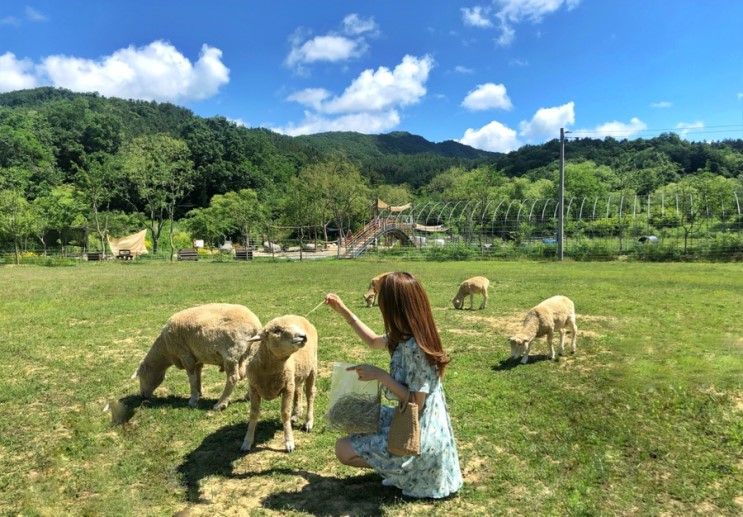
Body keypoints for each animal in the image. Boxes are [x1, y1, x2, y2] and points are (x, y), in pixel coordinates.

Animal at [134, 302, 262, 408]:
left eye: (141, 376)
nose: (142, 396)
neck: (166, 349)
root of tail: (255, 326)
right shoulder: (197, 356)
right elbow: (198, 374)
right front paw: (199, 392)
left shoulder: (185, 355)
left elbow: (191, 377)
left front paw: (193, 400)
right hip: (250, 352)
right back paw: (248, 396)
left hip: (231, 353)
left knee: (233, 378)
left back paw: (220, 404)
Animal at [241, 314, 316, 452]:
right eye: (277, 331)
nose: (303, 336)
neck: (268, 370)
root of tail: (300, 316)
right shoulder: (253, 388)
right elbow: (253, 414)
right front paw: (247, 441)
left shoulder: (287, 388)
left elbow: (285, 413)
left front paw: (289, 442)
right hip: (296, 375)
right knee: (299, 390)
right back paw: (296, 414)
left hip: (313, 368)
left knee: (310, 394)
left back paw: (308, 422)